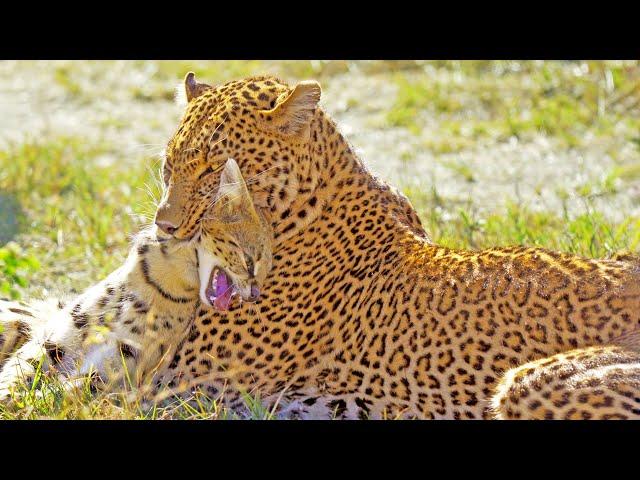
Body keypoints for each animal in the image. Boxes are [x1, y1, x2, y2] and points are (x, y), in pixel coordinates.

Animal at [0, 158, 272, 402]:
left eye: (264, 270)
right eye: (249, 261)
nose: (255, 294)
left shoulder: (119, 369)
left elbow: (64, 392)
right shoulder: (51, 342)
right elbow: (17, 374)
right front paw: (13, 398)